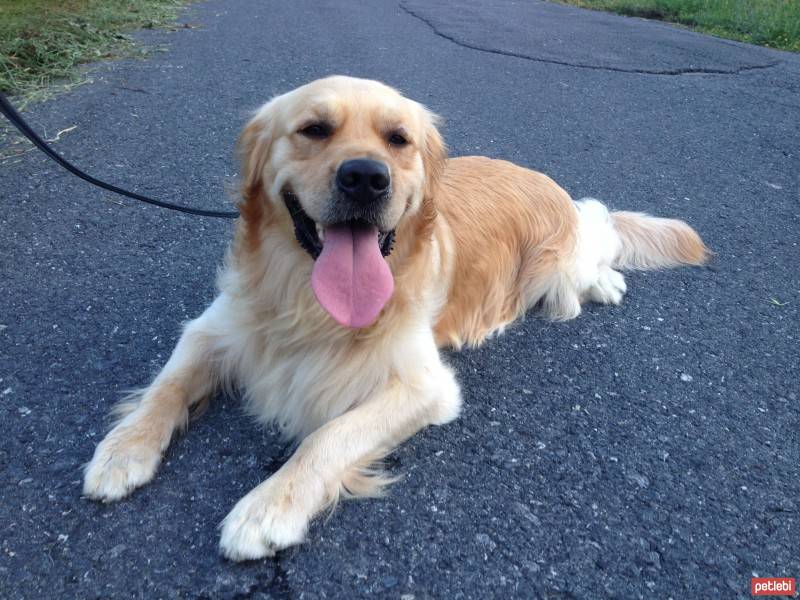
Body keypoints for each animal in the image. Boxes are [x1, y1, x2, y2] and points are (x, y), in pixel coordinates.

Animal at [83, 76, 708, 564]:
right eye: (314, 129)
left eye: (398, 139)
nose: (365, 177)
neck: (305, 302)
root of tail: (551, 183)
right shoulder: (215, 327)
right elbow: (166, 386)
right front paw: (122, 450)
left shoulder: (424, 385)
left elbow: (329, 436)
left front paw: (268, 507)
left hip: (558, 262)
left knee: (594, 249)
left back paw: (604, 283)